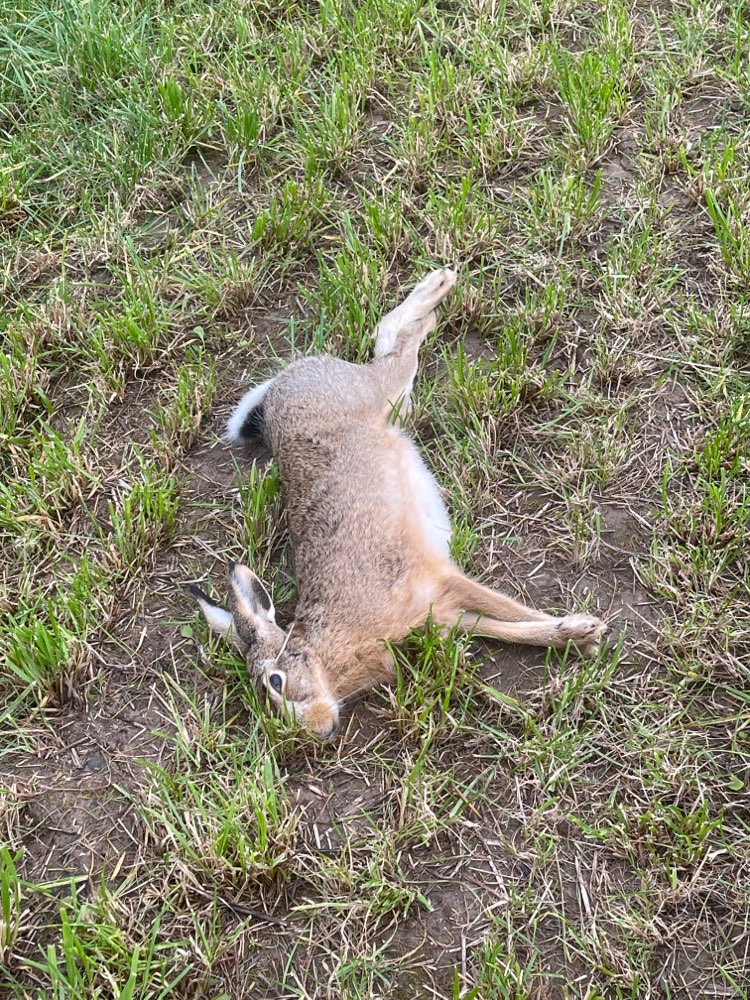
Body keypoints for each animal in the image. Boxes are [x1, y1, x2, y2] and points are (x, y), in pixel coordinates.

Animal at [188, 269, 607, 738]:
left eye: (276, 682)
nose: (317, 729)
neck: (322, 649)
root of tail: (278, 391)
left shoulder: (437, 582)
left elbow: (508, 609)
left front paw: (583, 626)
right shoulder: (443, 613)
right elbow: (500, 627)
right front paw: (575, 635)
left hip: (376, 390)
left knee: (390, 346)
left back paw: (440, 285)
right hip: (397, 409)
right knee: (394, 348)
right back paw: (434, 308)